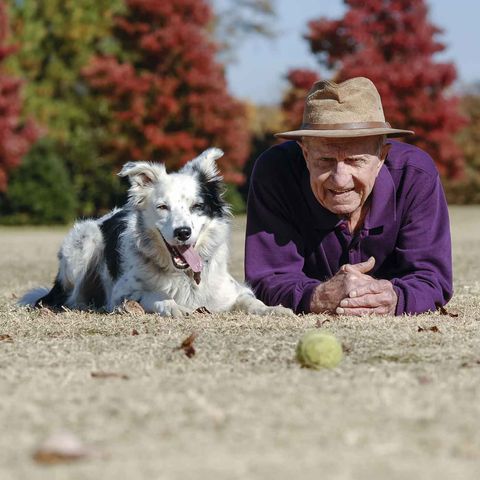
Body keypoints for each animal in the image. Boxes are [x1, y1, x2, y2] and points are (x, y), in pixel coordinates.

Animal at [20, 148, 292, 316]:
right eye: (163, 207)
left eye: (197, 206)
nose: (183, 232)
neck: (184, 276)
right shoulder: (123, 293)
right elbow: (154, 297)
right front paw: (173, 306)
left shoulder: (232, 291)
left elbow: (251, 300)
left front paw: (273, 309)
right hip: (85, 243)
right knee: (71, 298)